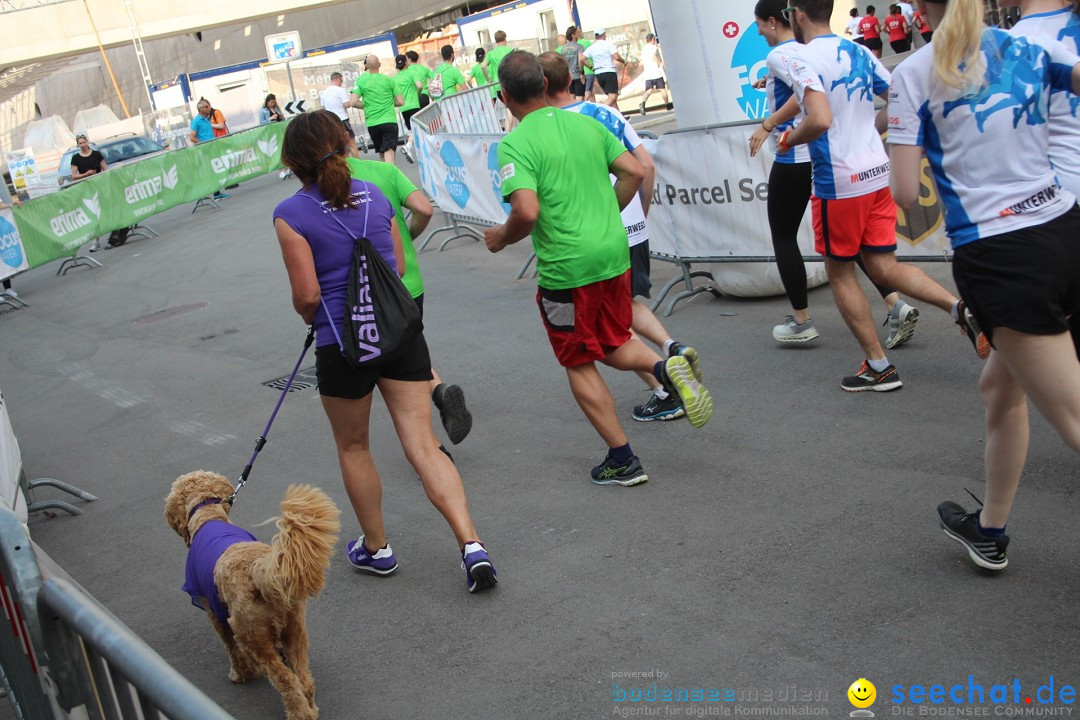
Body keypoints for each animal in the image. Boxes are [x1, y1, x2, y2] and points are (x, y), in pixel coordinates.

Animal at [165, 472, 336, 720]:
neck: (208, 518)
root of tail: (257, 571)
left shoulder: (213, 613)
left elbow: (230, 648)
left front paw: (240, 674)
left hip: (250, 635)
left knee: (286, 679)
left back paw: (299, 713)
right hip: (295, 628)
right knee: (304, 680)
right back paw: (311, 710)